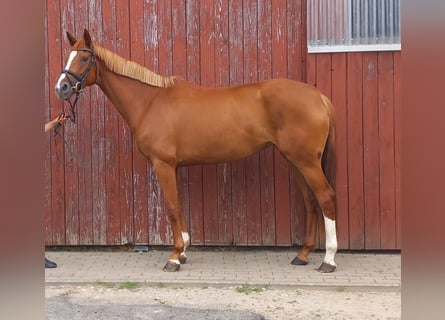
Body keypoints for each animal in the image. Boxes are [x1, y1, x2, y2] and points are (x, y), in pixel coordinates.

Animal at [54, 29, 336, 272]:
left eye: (83, 57)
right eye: (68, 56)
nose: (61, 88)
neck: (150, 101)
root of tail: (318, 97)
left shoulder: (163, 164)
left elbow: (171, 207)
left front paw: (174, 257)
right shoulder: (174, 166)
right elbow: (179, 204)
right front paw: (184, 251)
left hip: (306, 162)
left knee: (325, 198)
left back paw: (329, 260)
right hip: (295, 160)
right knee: (311, 201)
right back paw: (302, 255)